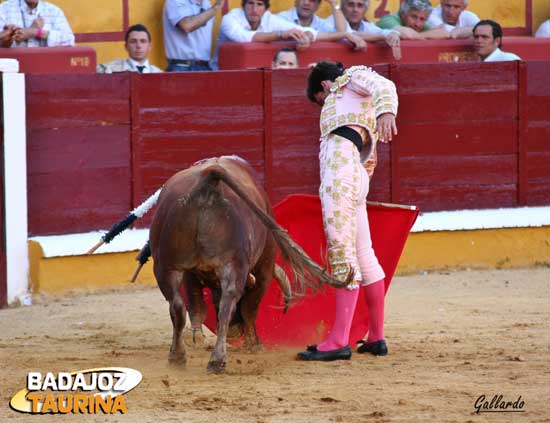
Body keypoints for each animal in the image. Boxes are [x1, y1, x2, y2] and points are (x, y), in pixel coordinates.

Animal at [149, 157, 352, 374]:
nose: (234, 332)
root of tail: (208, 177)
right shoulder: (264, 269)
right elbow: (249, 307)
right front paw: (253, 344)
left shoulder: (191, 272)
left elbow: (196, 303)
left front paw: (196, 338)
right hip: (235, 264)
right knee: (228, 304)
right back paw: (217, 360)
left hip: (166, 267)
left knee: (178, 305)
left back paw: (177, 356)